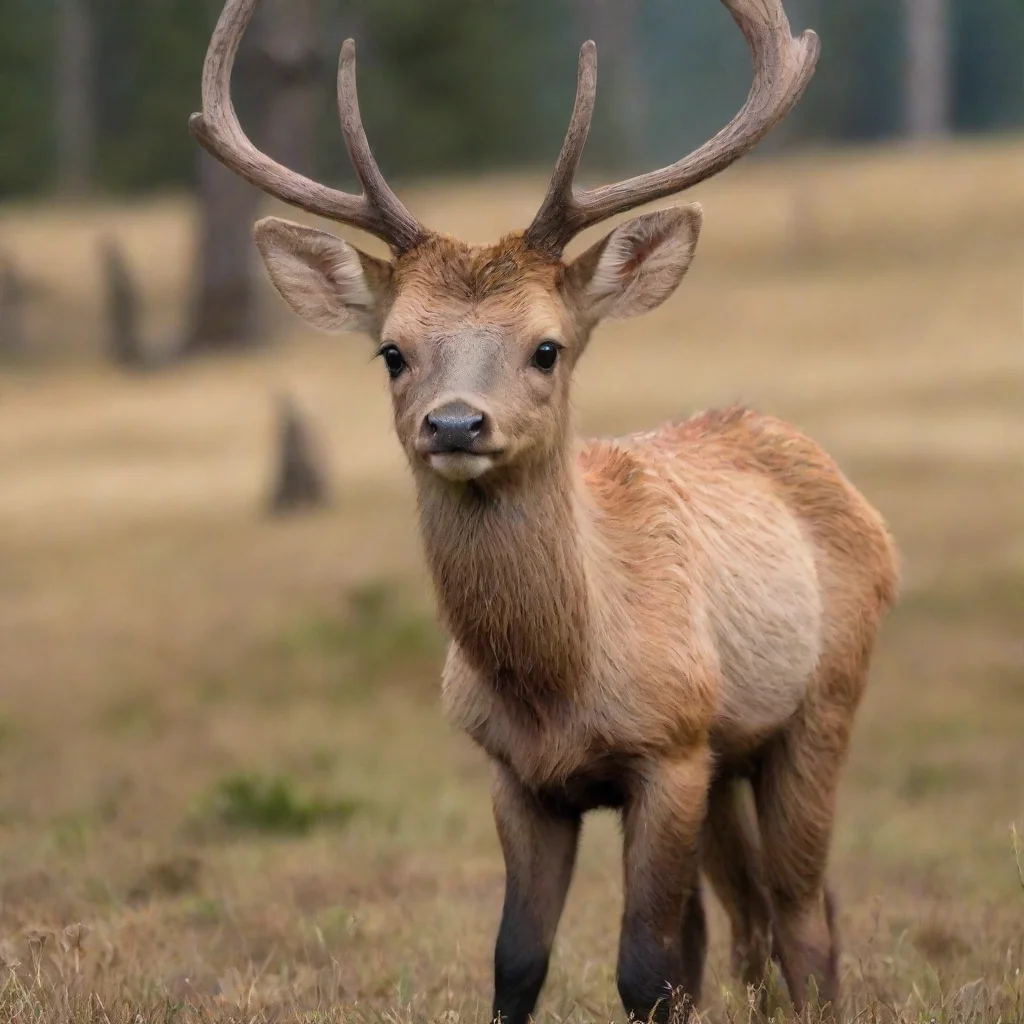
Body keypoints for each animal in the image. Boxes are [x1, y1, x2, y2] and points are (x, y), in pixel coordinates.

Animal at [191, 1, 899, 1021]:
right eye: (393, 351)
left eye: (547, 348)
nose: (455, 422)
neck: (559, 685)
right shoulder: (513, 773)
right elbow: (519, 960)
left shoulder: (671, 745)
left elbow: (645, 970)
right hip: (732, 759)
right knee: (750, 923)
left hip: (821, 703)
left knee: (802, 916)